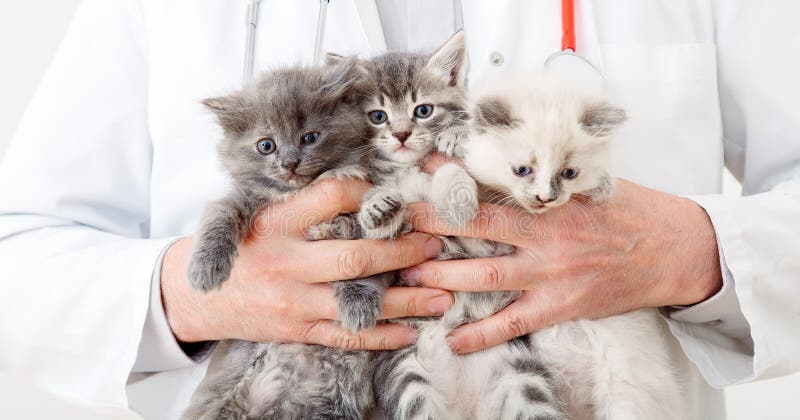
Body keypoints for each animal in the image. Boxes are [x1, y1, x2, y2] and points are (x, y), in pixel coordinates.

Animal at [340, 32, 564, 420]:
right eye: (378, 116)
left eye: (423, 110)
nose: (401, 135)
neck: (411, 168)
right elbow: (379, 223)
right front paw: (378, 207)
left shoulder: (490, 241)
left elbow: (452, 171)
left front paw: (456, 171)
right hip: (408, 377)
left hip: (524, 378)